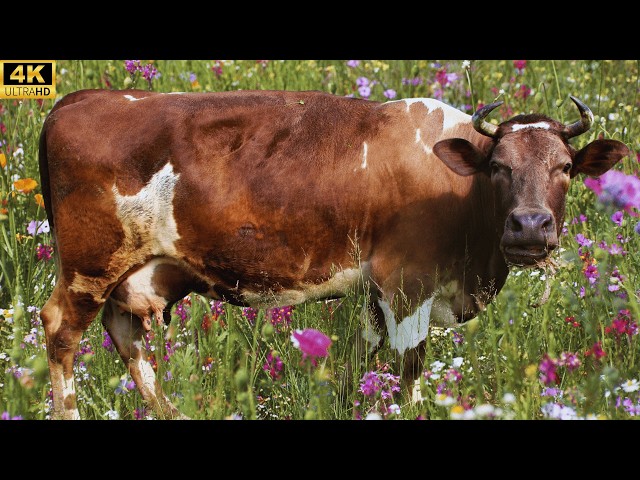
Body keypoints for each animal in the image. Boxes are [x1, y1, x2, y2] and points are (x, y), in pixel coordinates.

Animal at [38, 88, 629, 419]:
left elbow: (361, 362)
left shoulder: (376, 291)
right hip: (89, 268)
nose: (530, 226)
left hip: (131, 273)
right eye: (499, 166)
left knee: (127, 339)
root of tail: (86, 96)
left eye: (565, 167)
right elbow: (410, 368)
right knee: (61, 331)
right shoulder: (407, 281)